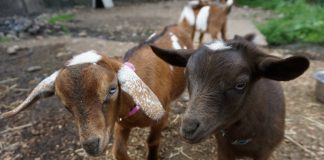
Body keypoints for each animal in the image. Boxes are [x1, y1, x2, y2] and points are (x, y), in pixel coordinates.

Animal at [1, 24, 194, 159]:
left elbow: (152, 141)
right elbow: (118, 152)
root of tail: (174, 26)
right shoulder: (120, 124)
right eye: (64, 104)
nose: (91, 145)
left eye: (112, 89)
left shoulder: (160, 114)